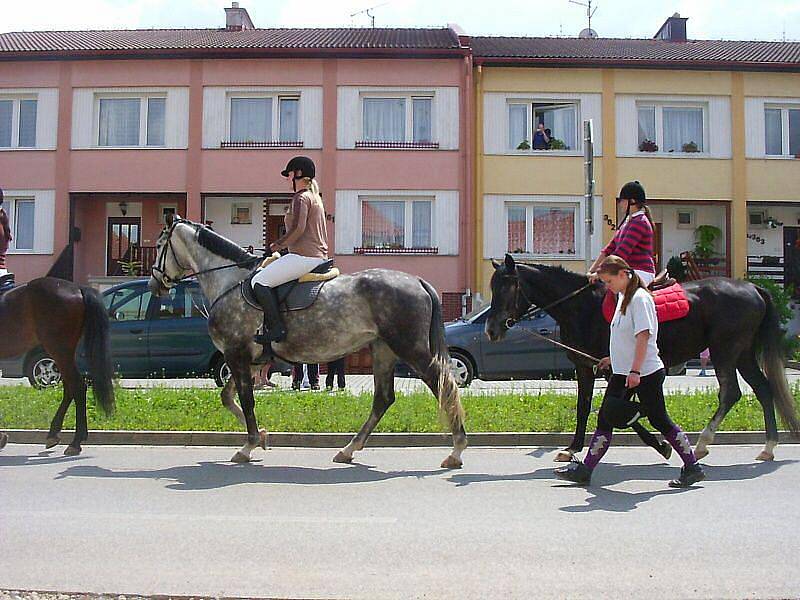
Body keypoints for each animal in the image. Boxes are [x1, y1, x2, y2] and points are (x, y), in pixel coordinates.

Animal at [0, 278, 115, 452]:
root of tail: (77, 288)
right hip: (63, 354)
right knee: (70, 388)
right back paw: (55, 434)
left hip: (58, 350)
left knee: (77, 386)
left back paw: (75, 441)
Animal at [148, 217, 468, 468]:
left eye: (160, 245)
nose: (154, 283)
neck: (229, 282)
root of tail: (417, 281)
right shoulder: (250, 360)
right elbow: (228, 397)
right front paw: (262, 437)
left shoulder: (236, 354)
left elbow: (246, 400)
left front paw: (248, 445)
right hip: (383, 349)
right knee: (384, 398)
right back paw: (348, 450)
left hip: (410, 348)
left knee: (443, 385)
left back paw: (456, 450)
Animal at [484, 255, 796, 462]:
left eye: (507, 287)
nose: (491, 330)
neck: (583, 307)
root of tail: (752, 288)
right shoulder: (585, 368)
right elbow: (583, 407)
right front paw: (572, 448)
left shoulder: (613, 370)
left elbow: (621, 411)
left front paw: (661, 444)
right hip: (743, 354)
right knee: (763, 389)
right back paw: (768, 446)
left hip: (725, 353)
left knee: (730, 393)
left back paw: (702, 443)